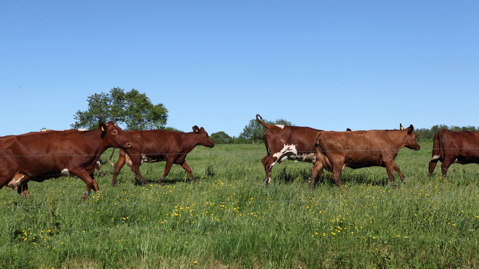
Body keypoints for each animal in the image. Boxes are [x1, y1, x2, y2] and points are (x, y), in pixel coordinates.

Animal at [0, 121, 131, 197]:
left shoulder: (88, 168)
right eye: (114, 131)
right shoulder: (76, 168)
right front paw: (84, 199)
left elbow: (94, 184)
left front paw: (98, 199)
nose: (129, 144)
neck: (86, 142)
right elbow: (89, 182)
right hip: (4, 175)